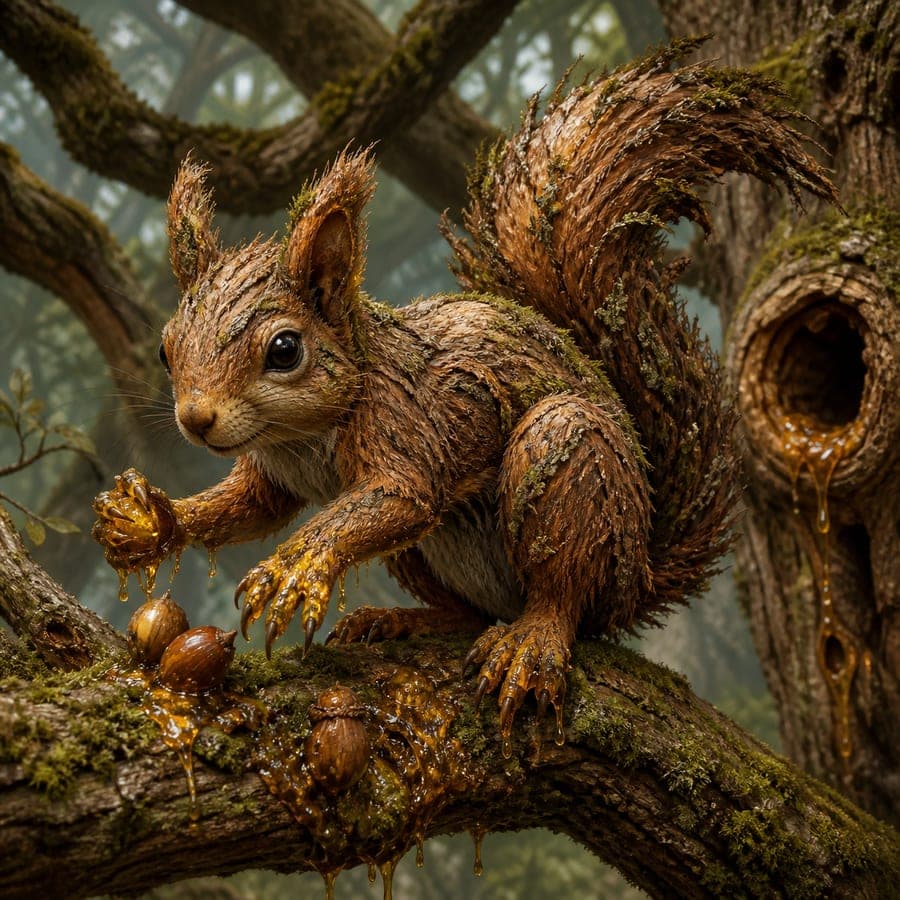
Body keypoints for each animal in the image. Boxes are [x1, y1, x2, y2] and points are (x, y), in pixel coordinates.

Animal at [93, 45, 836, 743]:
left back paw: (531, 642)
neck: (303, 435)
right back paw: (404, 620)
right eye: (165, 348)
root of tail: (640, 573)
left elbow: (396, 494)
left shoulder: (402, 422)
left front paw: (294, 568)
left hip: (572, 465)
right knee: (468, 611)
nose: (196, 419)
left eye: (284, 351)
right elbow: (247, 507)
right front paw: (150, 522)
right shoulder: (272, 474)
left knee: (564, 596)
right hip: (424, 554)